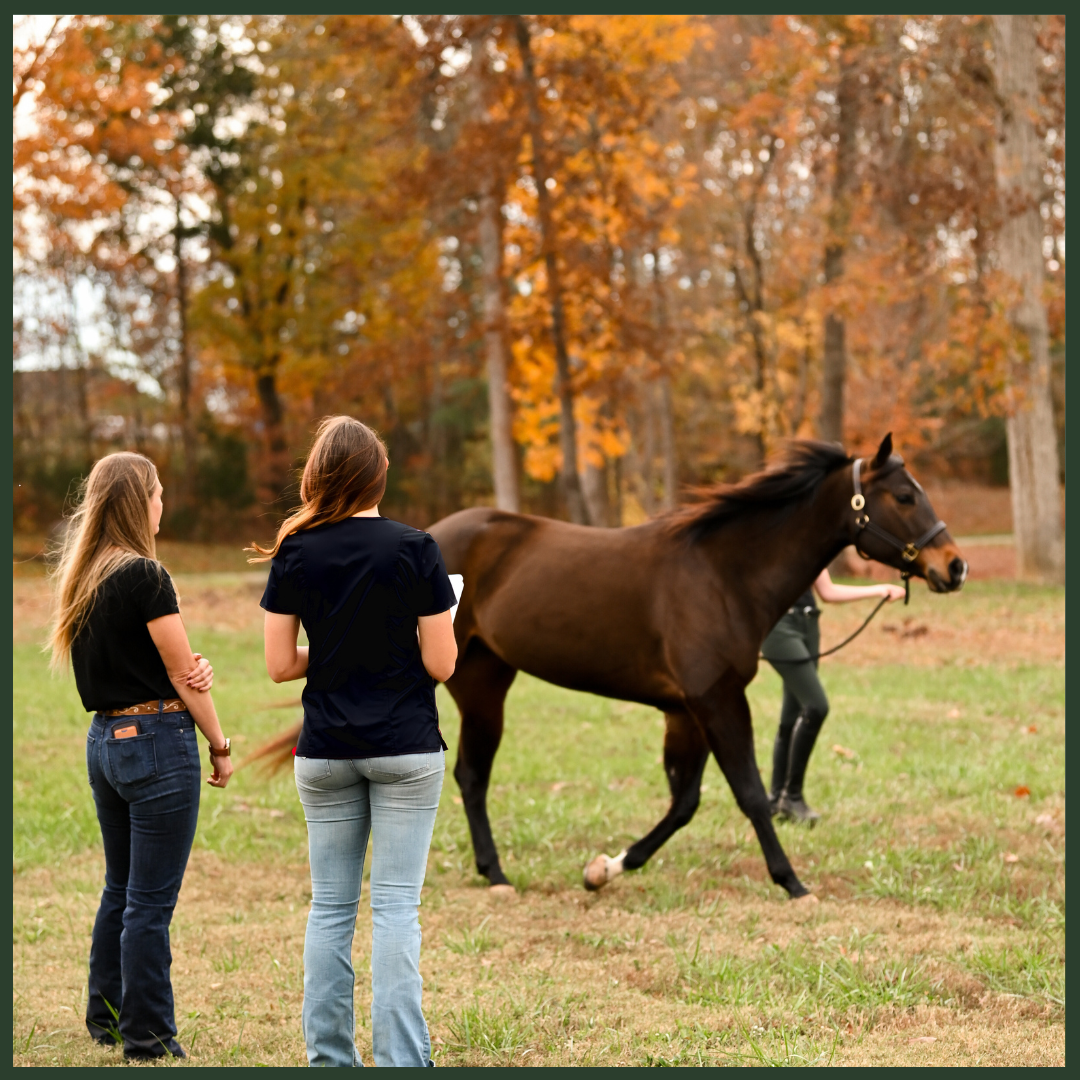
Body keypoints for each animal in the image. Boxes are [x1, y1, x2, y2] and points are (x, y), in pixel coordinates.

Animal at [428, 435, 967, 900]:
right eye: (904, 496)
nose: (955, 566)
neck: (722, 575)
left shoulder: (687, 711)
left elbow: (684, 803)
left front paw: (605, 868)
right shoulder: (718, 701)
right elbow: (749, 793)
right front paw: (792, 882)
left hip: (486, 682)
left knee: (472, 775)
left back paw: (494, 873)